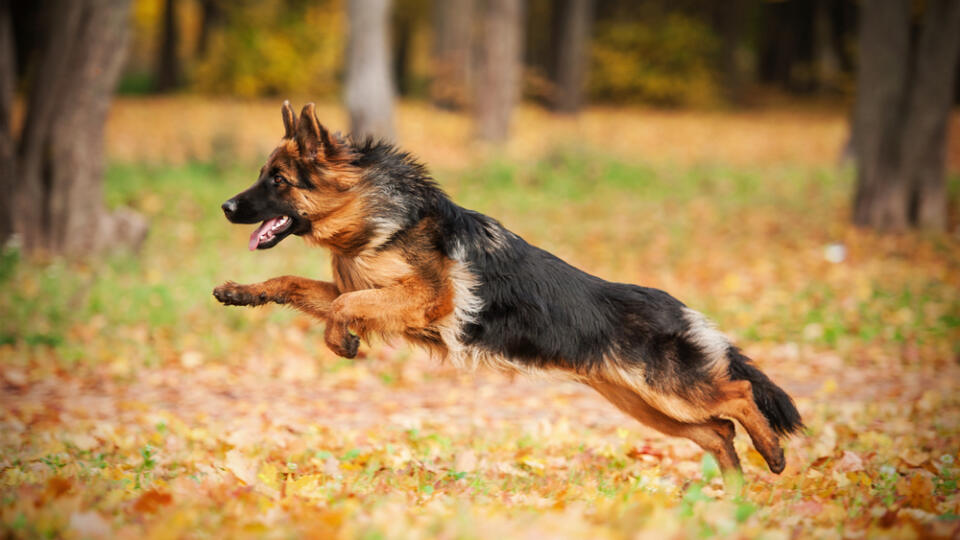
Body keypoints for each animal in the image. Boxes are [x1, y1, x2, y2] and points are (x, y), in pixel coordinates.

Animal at [216, 101, 804, 480]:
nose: (225, 206)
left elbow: (344, 303)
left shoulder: (425, 299)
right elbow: (297, 284)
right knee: (719, 431)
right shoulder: (370, 291)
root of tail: (681, 309)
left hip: (666, 391)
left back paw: (771, 455)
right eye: (262, 175)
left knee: (739, 395)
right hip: (648, 405)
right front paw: (243, 291)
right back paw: (732, 492)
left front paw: (341, 339)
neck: (374, 216)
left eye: (277, 180)